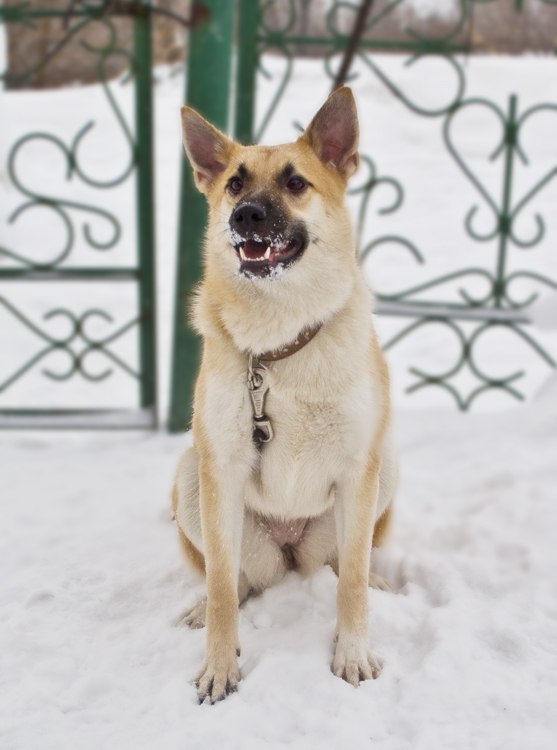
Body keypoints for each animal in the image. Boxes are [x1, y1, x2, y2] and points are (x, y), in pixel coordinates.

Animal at [172, 87, 397, 704]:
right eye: (234, 184)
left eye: (296, 183)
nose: (246, 216)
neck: (280, 343)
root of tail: (293, 554)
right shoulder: (221, 468)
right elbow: (223, 587)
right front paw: (219, 666)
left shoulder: (358, 469)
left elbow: (352, 585)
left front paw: (352, 654)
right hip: (192, 477)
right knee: (239, 580)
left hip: (383, 468)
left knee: (346, 567)